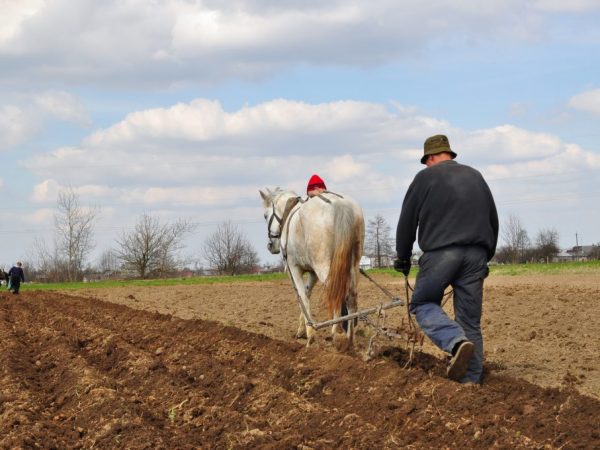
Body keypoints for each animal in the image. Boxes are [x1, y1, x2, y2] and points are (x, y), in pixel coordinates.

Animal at [258, 188, 366, 350]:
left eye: (266, 215)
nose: (271, 245)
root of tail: (340, 205)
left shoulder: (293, 269)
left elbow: (302, 296)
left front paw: (310, 335)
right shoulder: (313, 273)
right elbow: (307, 293)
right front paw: (302, 330)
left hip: (324, 266)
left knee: (337, 293)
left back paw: (336, 333)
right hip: (353, 265)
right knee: (351, 296)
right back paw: (350, 339)